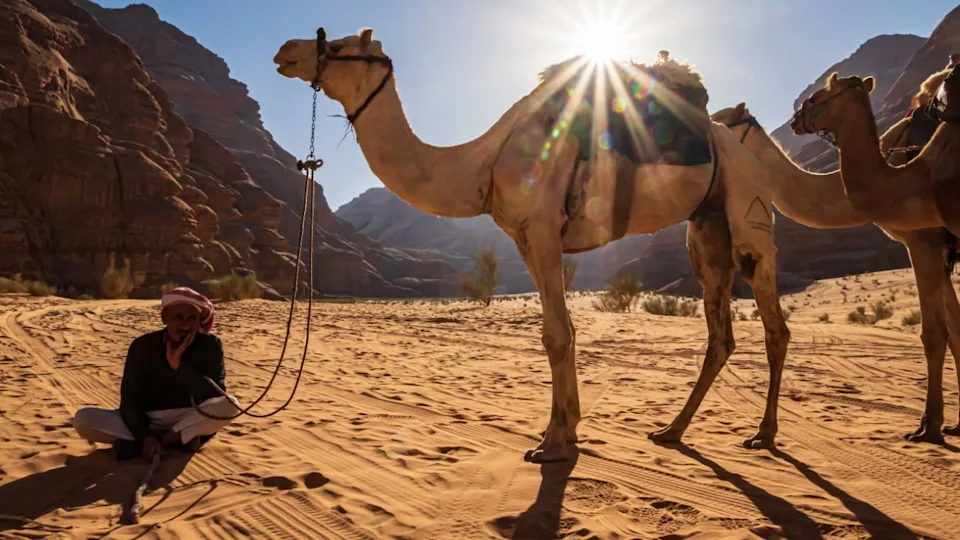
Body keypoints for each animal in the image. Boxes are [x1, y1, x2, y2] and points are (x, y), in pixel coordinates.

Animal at [273, 27, 790, 463]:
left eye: (336, 45)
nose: (284, 51)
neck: (482, 165)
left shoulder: (542, 230)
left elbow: (556, 335)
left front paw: (555, 443)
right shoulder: (526, 238)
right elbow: (562, 332)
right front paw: (563, 431)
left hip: (748, 210)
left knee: (774, 324)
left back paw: (762, 434)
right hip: (706, 229)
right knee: (720, 334)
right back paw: (671, 430)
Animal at [708, 57, 960, 443]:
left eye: (720, 118)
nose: (795, 121)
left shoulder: (925, 239)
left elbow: (936, 332)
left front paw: (929, 428)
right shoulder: (933, 247)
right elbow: (956, 329)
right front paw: (948, 423)